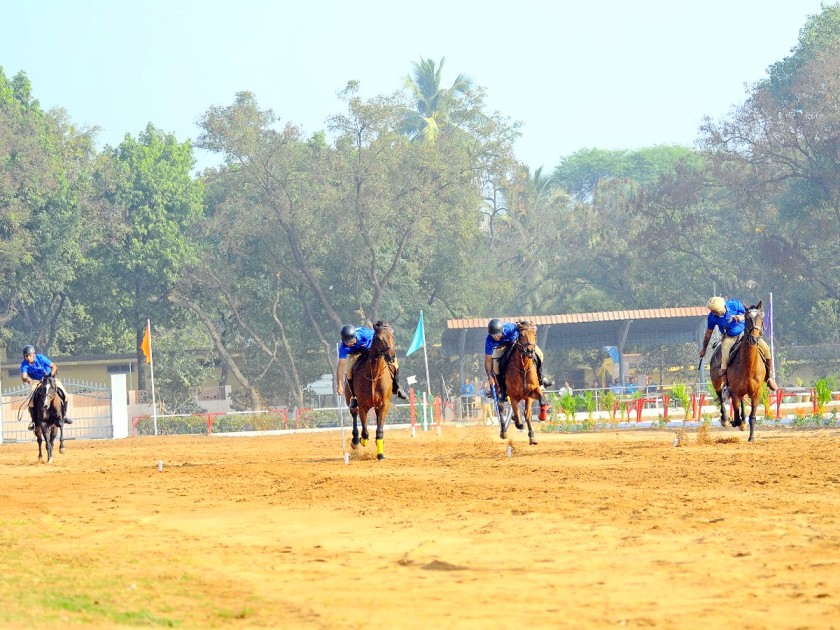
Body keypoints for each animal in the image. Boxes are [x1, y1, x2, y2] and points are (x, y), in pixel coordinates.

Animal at [346, 324, 398, 462]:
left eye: (393, 336)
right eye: (379, 338)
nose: (391, 356)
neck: (374, 374)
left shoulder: (384, 404)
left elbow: (379, 431)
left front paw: (380, 454)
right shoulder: (363, 405)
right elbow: (365, 431)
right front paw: (362, 441)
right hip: (351, 400)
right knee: (354, 413)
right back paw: (355, 440)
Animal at [708, 302, 768, 444]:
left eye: (760, 318)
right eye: (747, 318)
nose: (754, 338)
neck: (749, 366)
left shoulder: (757, 392)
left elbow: (753, 416)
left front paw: (751, 437)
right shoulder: (734, 391)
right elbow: (735, 414)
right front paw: (735, 421)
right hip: (716, 381)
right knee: (720, 395)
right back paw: (725, 419)